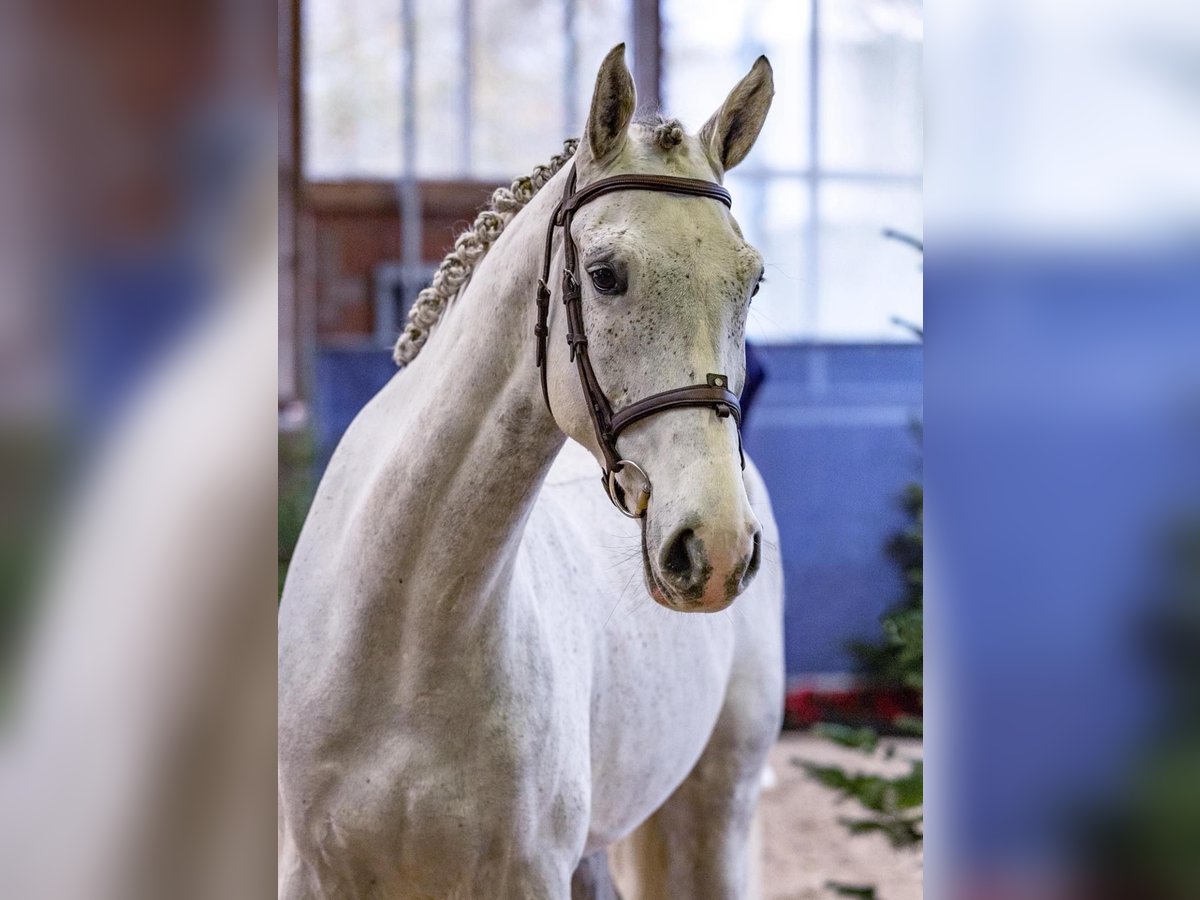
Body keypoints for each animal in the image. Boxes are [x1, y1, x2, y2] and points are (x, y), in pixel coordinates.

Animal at [278, 44, 784, 899]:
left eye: (751, 282)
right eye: (606, 274)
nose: (716, 547)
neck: (404, 641)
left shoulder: (527, 875)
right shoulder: (310, 871)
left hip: (718, 806)